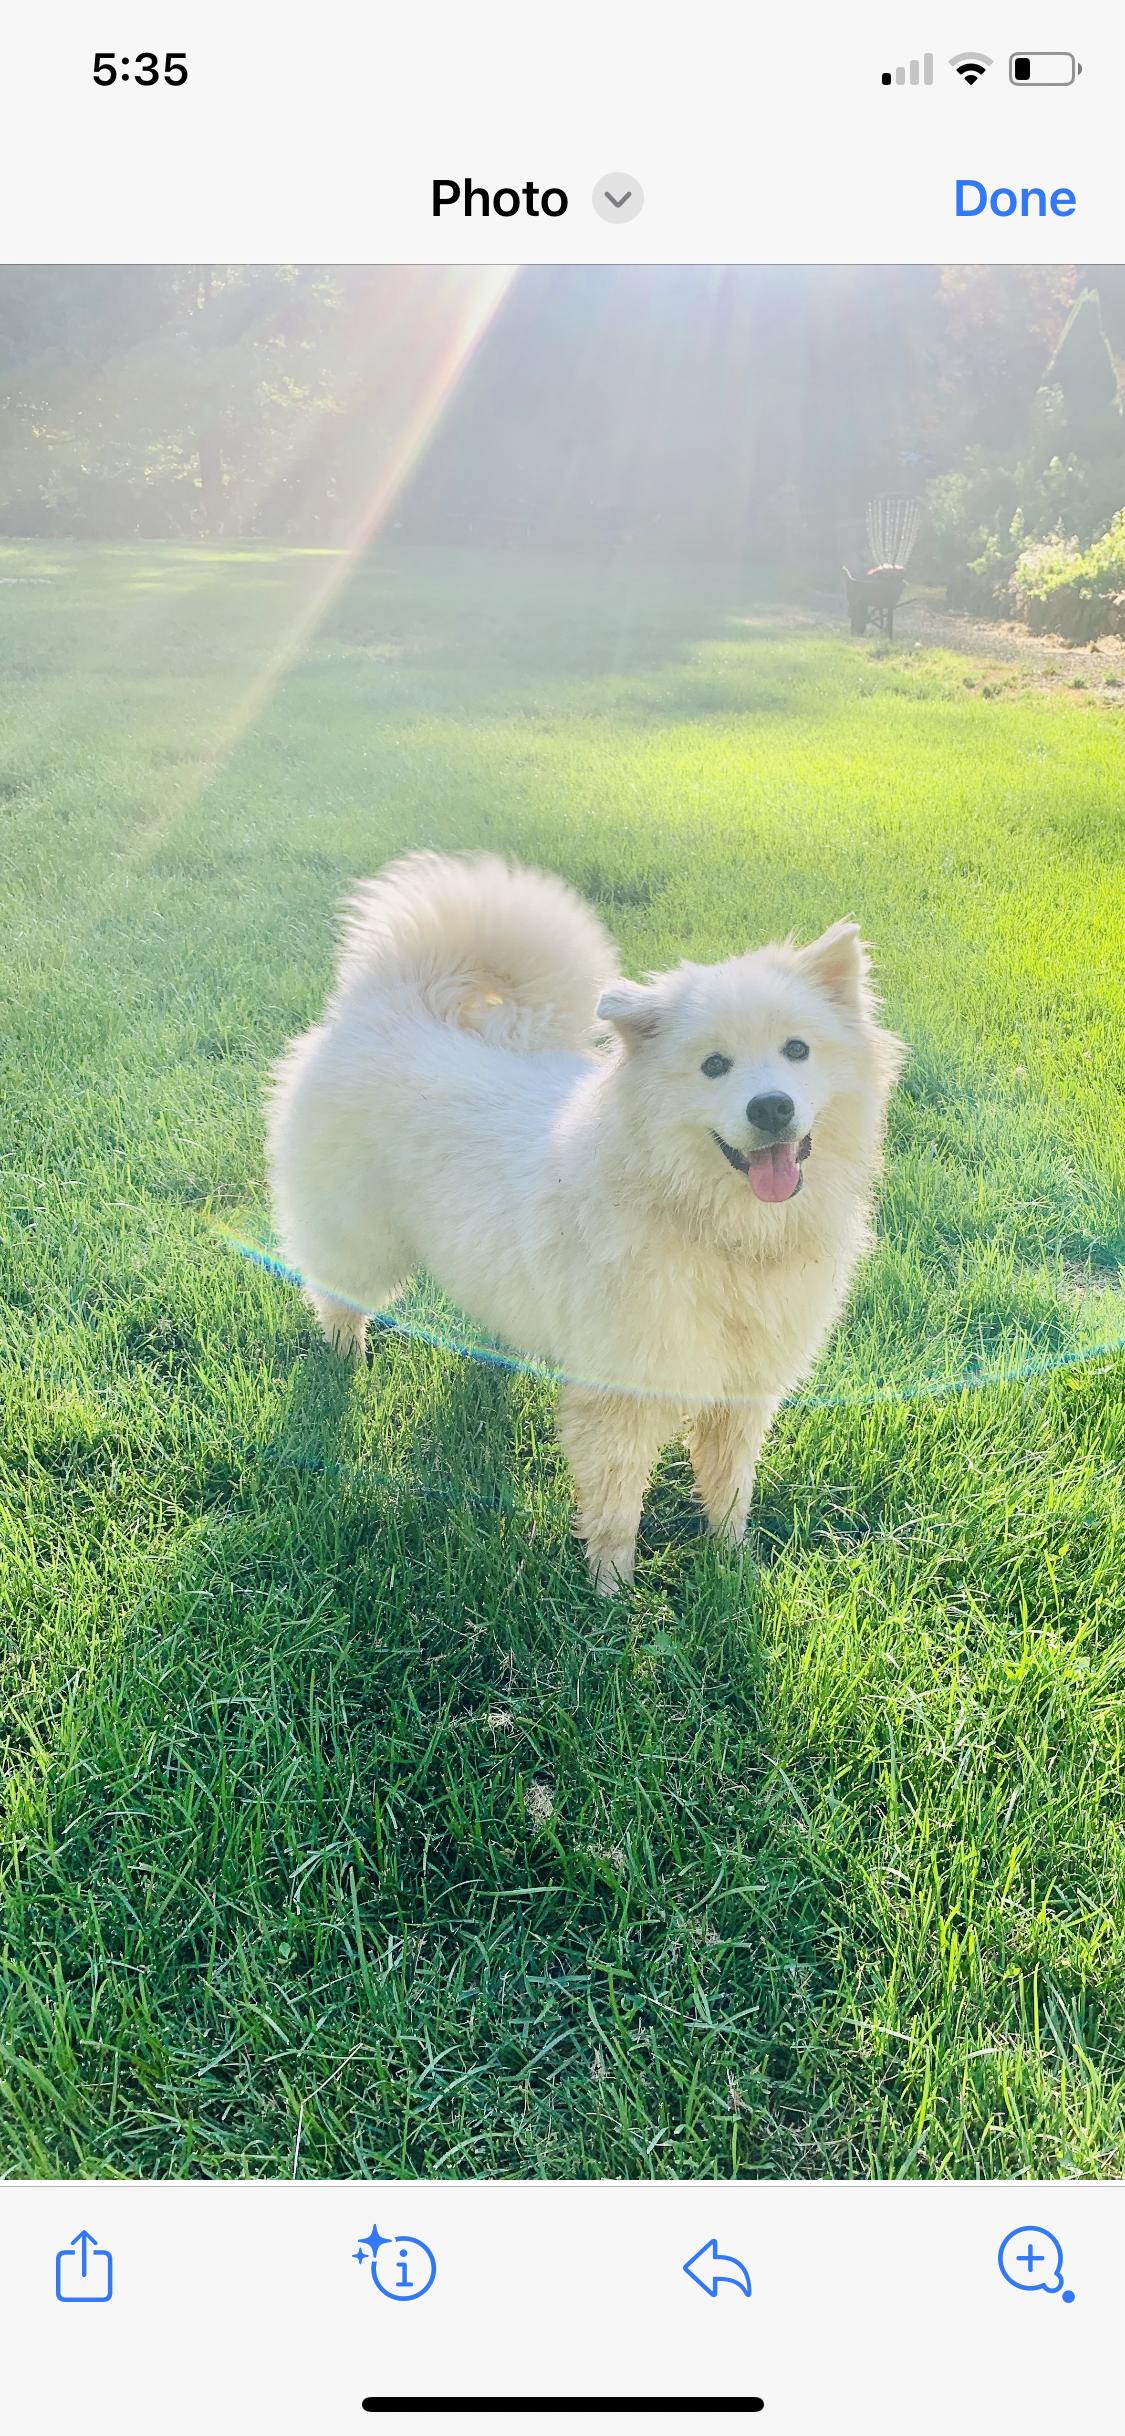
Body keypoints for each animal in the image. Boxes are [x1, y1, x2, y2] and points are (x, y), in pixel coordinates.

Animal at [267, 851, 904, 1591]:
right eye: (714, 1065)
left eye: (796, 1050)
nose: (771, 1107)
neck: (713, 1224)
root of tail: (390, 1002)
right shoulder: (621, 1394)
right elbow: (617, 1502)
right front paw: (610, 1592)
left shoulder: (742, 1389)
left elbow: (728, 1486)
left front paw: (730, 1564)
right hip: (359, 1236)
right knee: (337, 1295)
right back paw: (347, 1357)